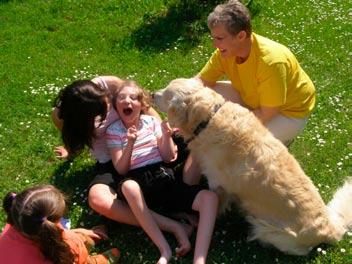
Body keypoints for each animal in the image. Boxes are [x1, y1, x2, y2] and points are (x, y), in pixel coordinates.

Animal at [153, 77, 352, 255]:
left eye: (167, 94)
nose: (153, 93)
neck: (209, 118)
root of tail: (330, 228)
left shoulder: (217, 184)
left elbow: (215, 205)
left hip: (267, 228)